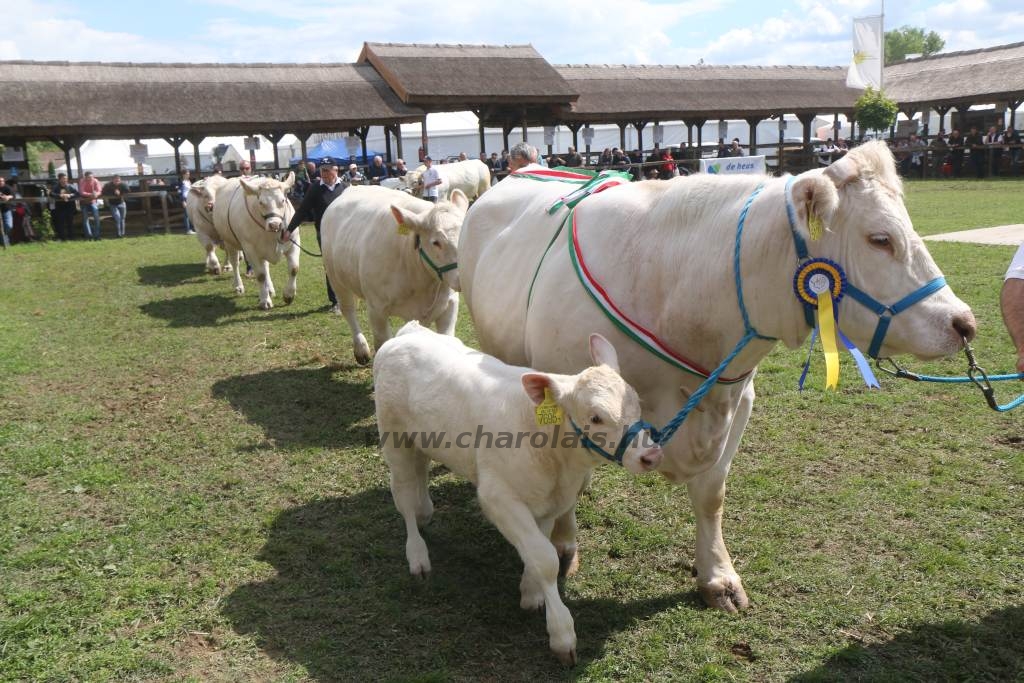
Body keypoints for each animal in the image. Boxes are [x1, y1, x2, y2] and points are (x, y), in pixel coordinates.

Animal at [211, 172, 299, 311]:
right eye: (261, 202)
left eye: (283, 200)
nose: (274, 225)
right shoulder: (250, 250)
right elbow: (260, 275)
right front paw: (265, 300)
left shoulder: (293, 243)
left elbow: (294, 269)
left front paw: (288, 295)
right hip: (229, 242)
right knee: (235, 263)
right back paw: (239, 286)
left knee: (266, 267)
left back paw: (270, 289)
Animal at [319, 184, 468, 366]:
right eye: (436, 242)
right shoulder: (376, 309)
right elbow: (382, 343)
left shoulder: (449, 305)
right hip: (335, 278)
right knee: (348, 310)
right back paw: (361, 349)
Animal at [376, 323, 663, 663]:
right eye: (595, 417)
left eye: (637, 404)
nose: (651, 454)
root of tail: (409, 331)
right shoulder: (498, 496)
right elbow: (545, 559)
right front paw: (562, 634)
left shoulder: (550, 502)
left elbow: (538, 549)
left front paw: (530, 591)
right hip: (394, 438)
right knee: (404, 495)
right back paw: (417, 554)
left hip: (420, 440)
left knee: (418, 475)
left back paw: (425, 512)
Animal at [460, 141, 978, 610]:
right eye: (880, 239)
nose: (963, 323)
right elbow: (565, 491)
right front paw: (564, 545)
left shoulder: (737, 400)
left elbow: (712, 495)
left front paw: (718, 577)